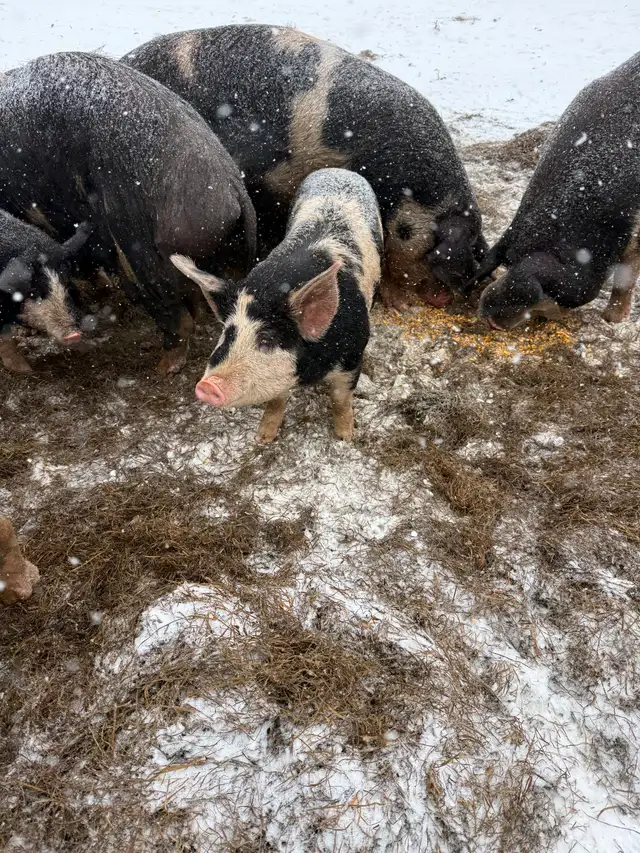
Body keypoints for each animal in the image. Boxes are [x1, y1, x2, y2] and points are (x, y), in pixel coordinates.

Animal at [171, 168, 382, 443]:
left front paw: (346, 438)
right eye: (228, 333)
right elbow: (275, 400)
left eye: (267, 339)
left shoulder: (353, 356)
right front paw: (263, 438)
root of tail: (338, 171)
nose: (207, 386)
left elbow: (340, 399)